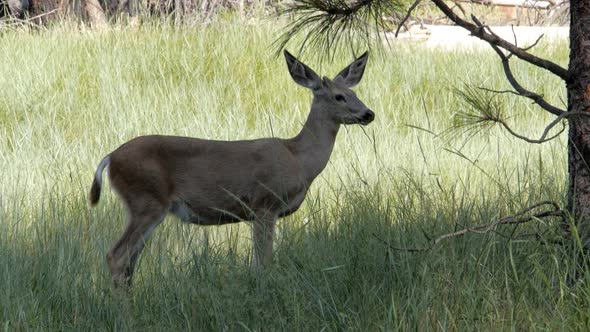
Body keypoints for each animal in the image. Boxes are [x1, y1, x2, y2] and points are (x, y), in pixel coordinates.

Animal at [89, 50, 374, 286]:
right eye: (339, 96)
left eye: (356, 93)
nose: (368, 113)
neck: (298, 158)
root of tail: (111, 157)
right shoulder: (264, 204)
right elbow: (262, 263)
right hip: (146, 200)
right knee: (117, 256)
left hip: (144, 206)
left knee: (130, 263)